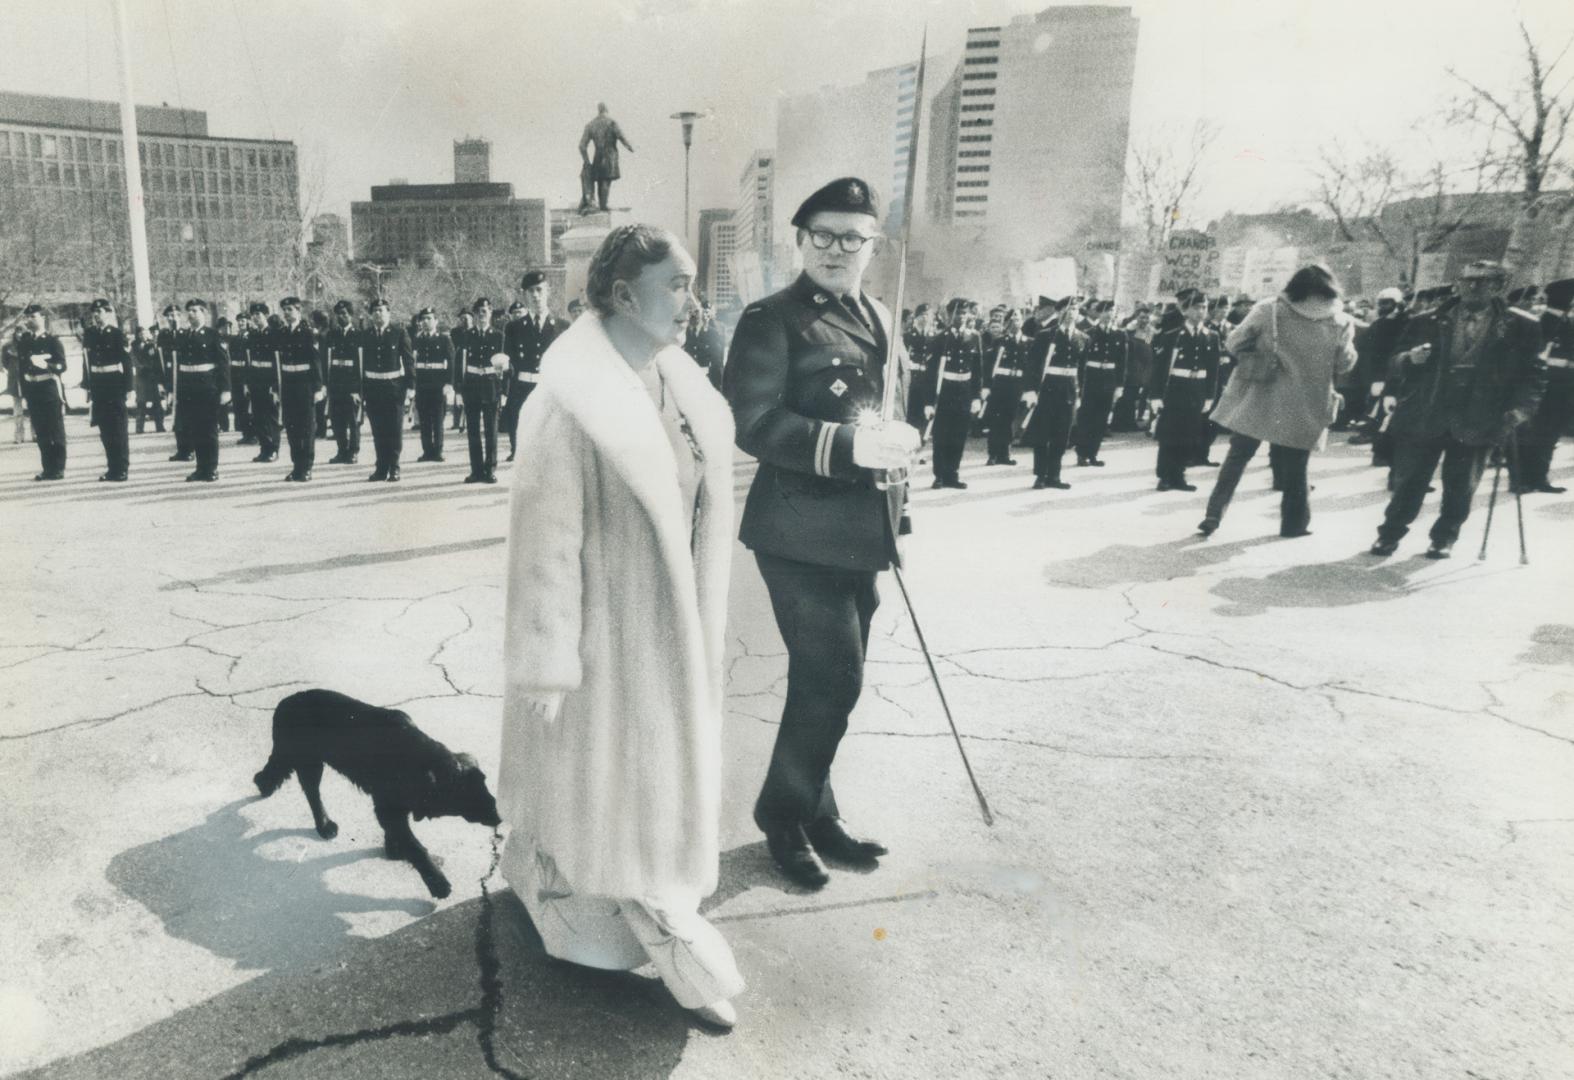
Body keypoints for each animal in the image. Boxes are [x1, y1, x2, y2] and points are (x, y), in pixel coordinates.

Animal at [253, 692, 497, 894]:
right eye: (467, 795)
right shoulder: (386, 806)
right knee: (311, 792)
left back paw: (263, 786)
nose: (499, 816)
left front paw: (394, 850)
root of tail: (285, 703)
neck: (417, 758)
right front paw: (437, 883)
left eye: (484, 784)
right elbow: (415, 846)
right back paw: (322, 824)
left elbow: (398, 832)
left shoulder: (395, 804)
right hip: (305, 759)